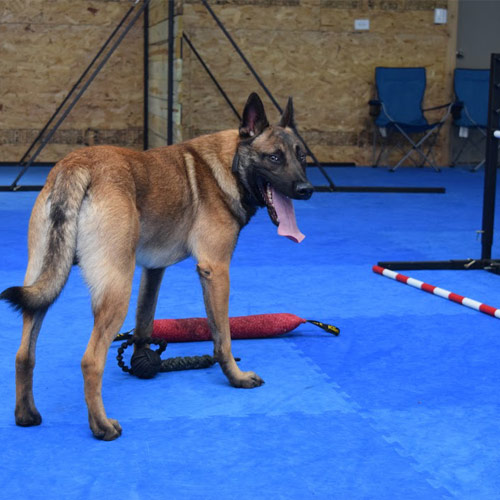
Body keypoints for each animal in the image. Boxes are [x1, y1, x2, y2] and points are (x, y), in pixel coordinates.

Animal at [0, 92, 312, 440]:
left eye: (302, 156)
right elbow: (223, 337)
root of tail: (77, 164)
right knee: (90, 361)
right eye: (274, 158)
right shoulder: (216, 270)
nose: (306, 190)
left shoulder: (152, 271)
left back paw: (26, 414)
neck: (229, 164)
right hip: (116, 290)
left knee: (24, 354)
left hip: (43, 282)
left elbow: (144, 324)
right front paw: (236, 377)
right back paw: (101, 426)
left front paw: (142, 362)